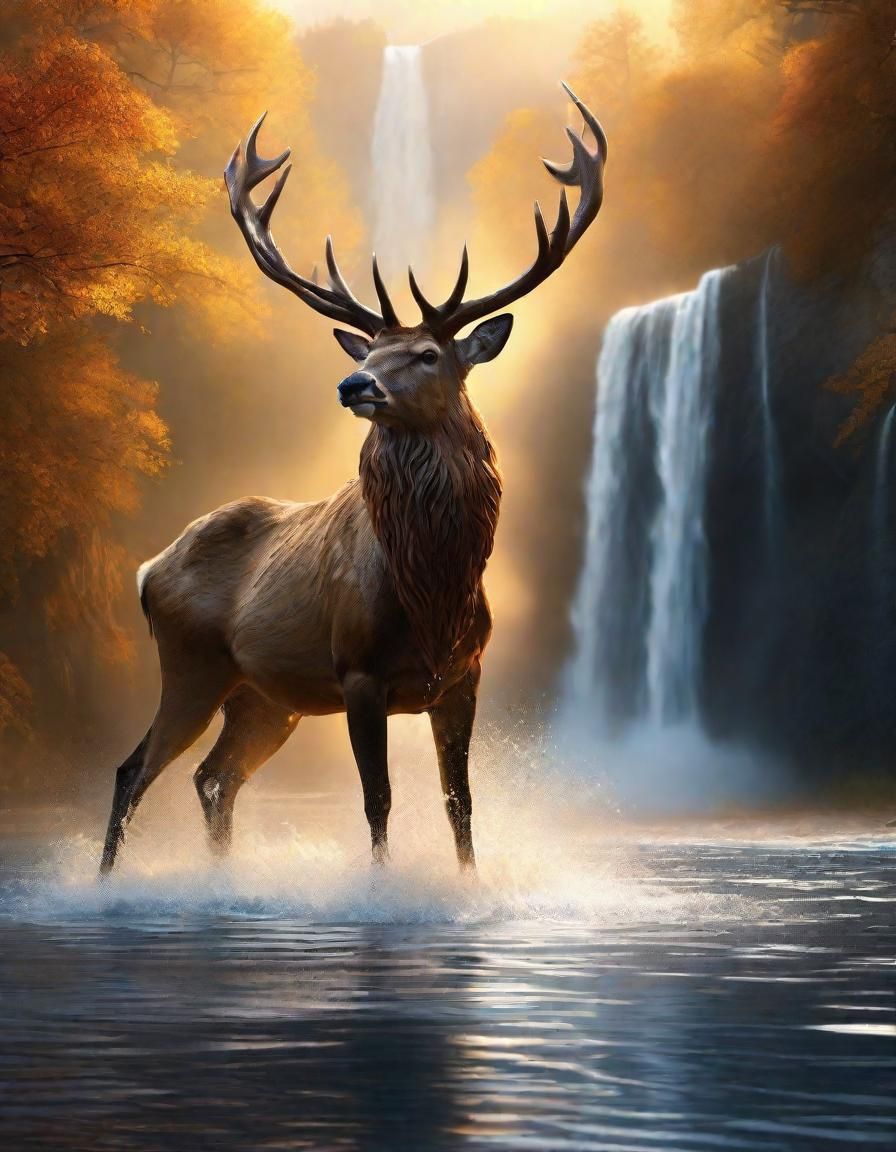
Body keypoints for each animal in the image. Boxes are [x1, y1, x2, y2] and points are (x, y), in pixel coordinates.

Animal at [99, 83, 606, 875]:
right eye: (368, 349)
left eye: (428, 354)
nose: (354, 383)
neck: (434, 591)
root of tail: (148, 569)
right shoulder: (358, 672)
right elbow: (378, 800)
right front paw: (379, 887)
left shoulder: (464, 676)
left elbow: (460, 801)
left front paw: (468, 883)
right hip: (191, 664)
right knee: (134, 769)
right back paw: (107, 883)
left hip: (266, 695)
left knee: (213, 776)